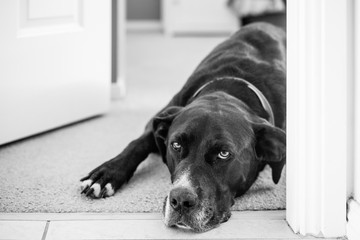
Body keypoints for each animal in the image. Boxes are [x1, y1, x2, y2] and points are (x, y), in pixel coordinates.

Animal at [80, 22, 286, 232]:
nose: (180, 200)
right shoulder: (161, 117)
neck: (230, 87)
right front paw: (105, 174)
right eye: (176, 145)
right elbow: (137, 144)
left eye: (224, 154)